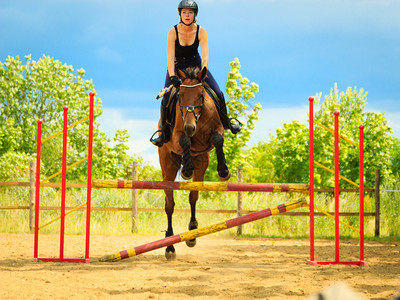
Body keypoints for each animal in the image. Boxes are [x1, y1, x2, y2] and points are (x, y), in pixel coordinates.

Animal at [158, 66, 230, 260]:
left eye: (200, 95)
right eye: (181, 95)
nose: (190, 128)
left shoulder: (215, 132)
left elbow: (218, 138)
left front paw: (223, 171)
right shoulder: (177, 136)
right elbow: (185, 141)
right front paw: (187, 168)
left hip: (202, 163)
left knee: (193, 196)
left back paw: (192, 233)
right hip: (167, 167)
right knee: (169, 205)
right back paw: (170, 246)